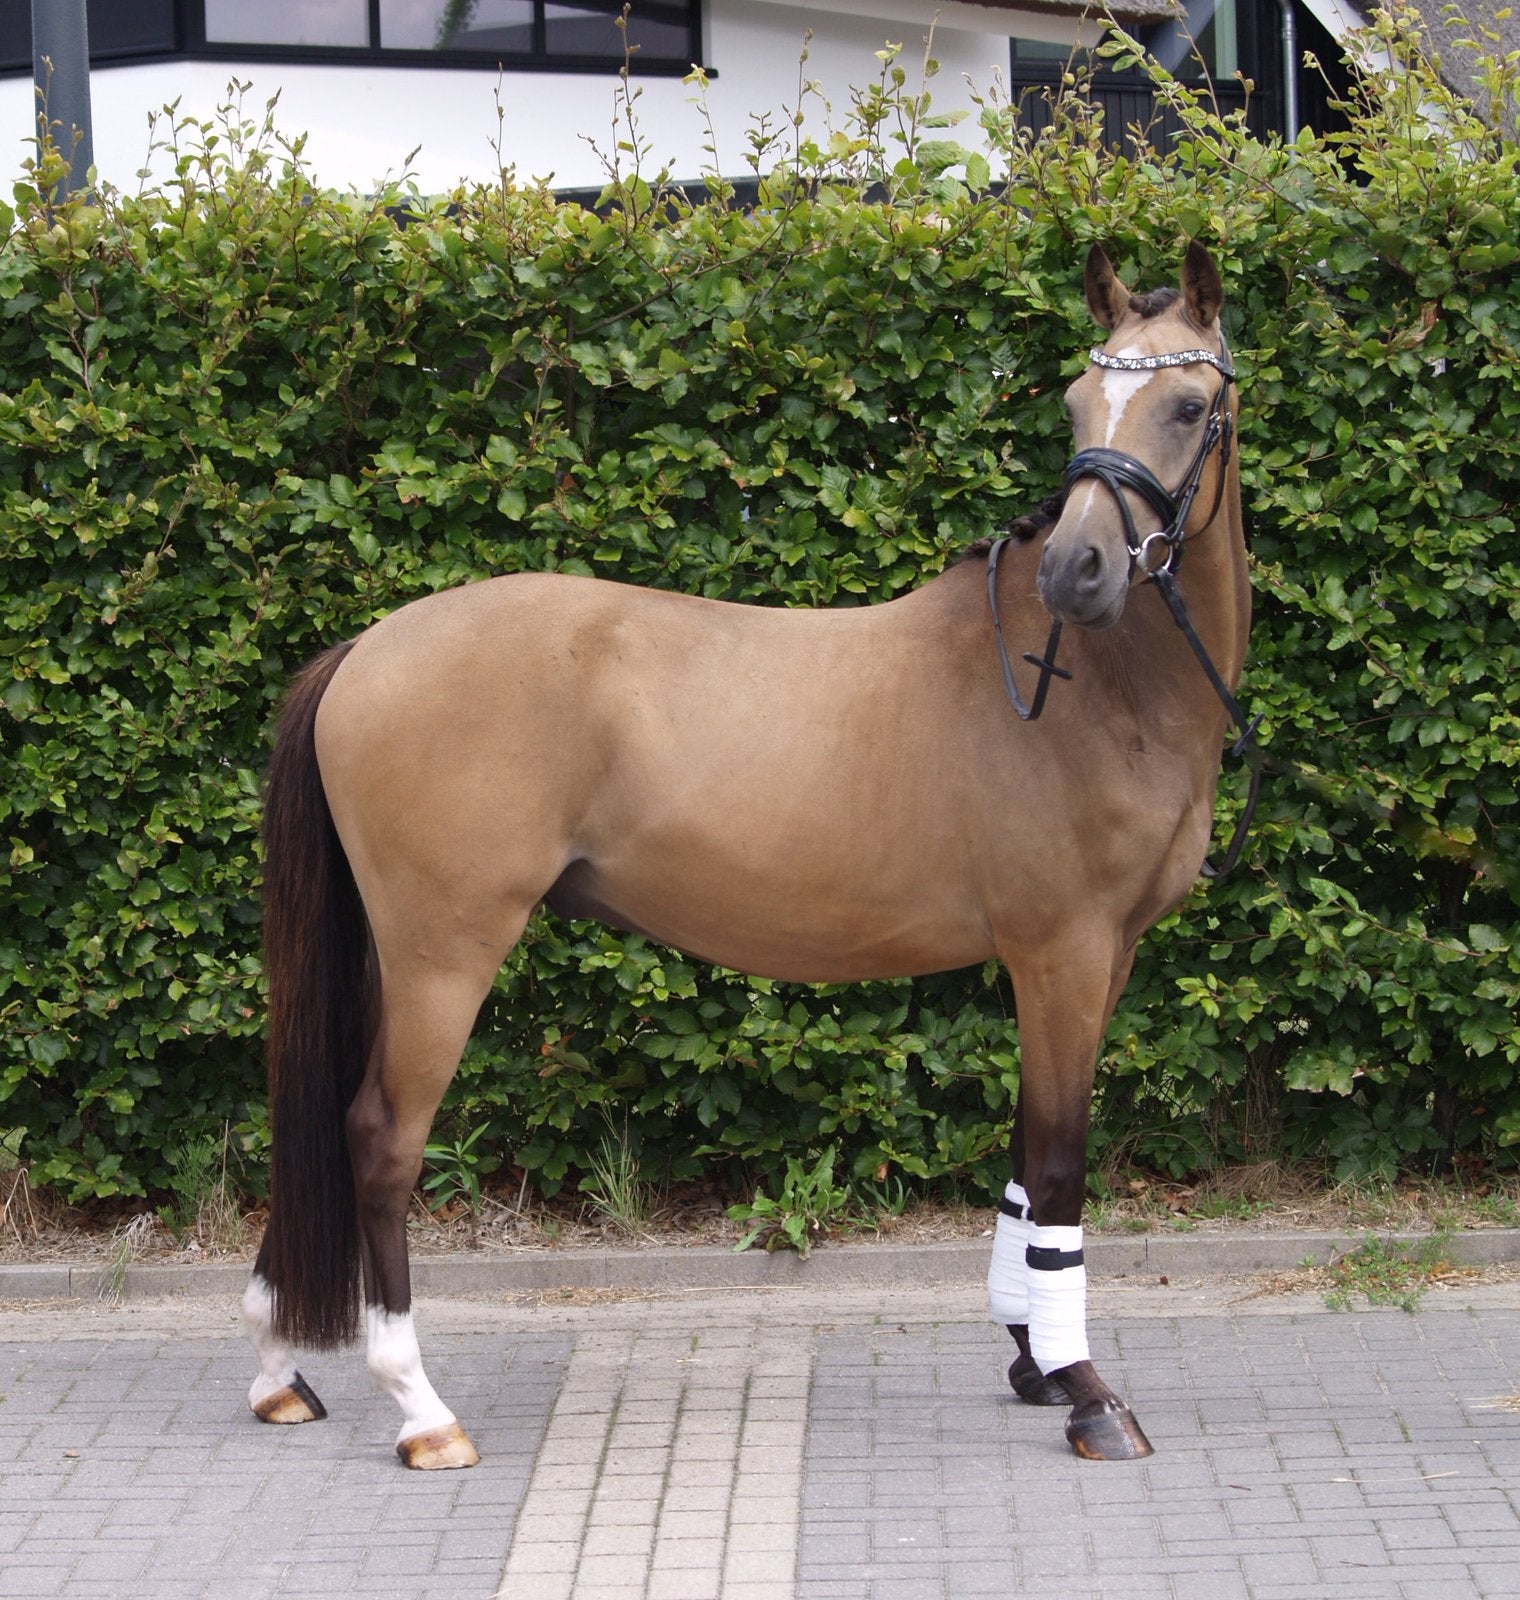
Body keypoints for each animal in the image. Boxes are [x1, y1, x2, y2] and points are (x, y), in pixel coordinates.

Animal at [242, 241, 1249, 1468]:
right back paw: (421, 1409)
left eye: (1187, 405)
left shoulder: (1087, 961)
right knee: (381, 1142)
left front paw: (1032, 1363)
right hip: (444, 954)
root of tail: (364, 648)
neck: (1097, 690)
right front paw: (1087, 1391)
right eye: (1073, 402)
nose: (1077, 571)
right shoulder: (1063, 953)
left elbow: (1022, 1167)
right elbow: (1057, 1171)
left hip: (391, 954)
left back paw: (280, 1375)